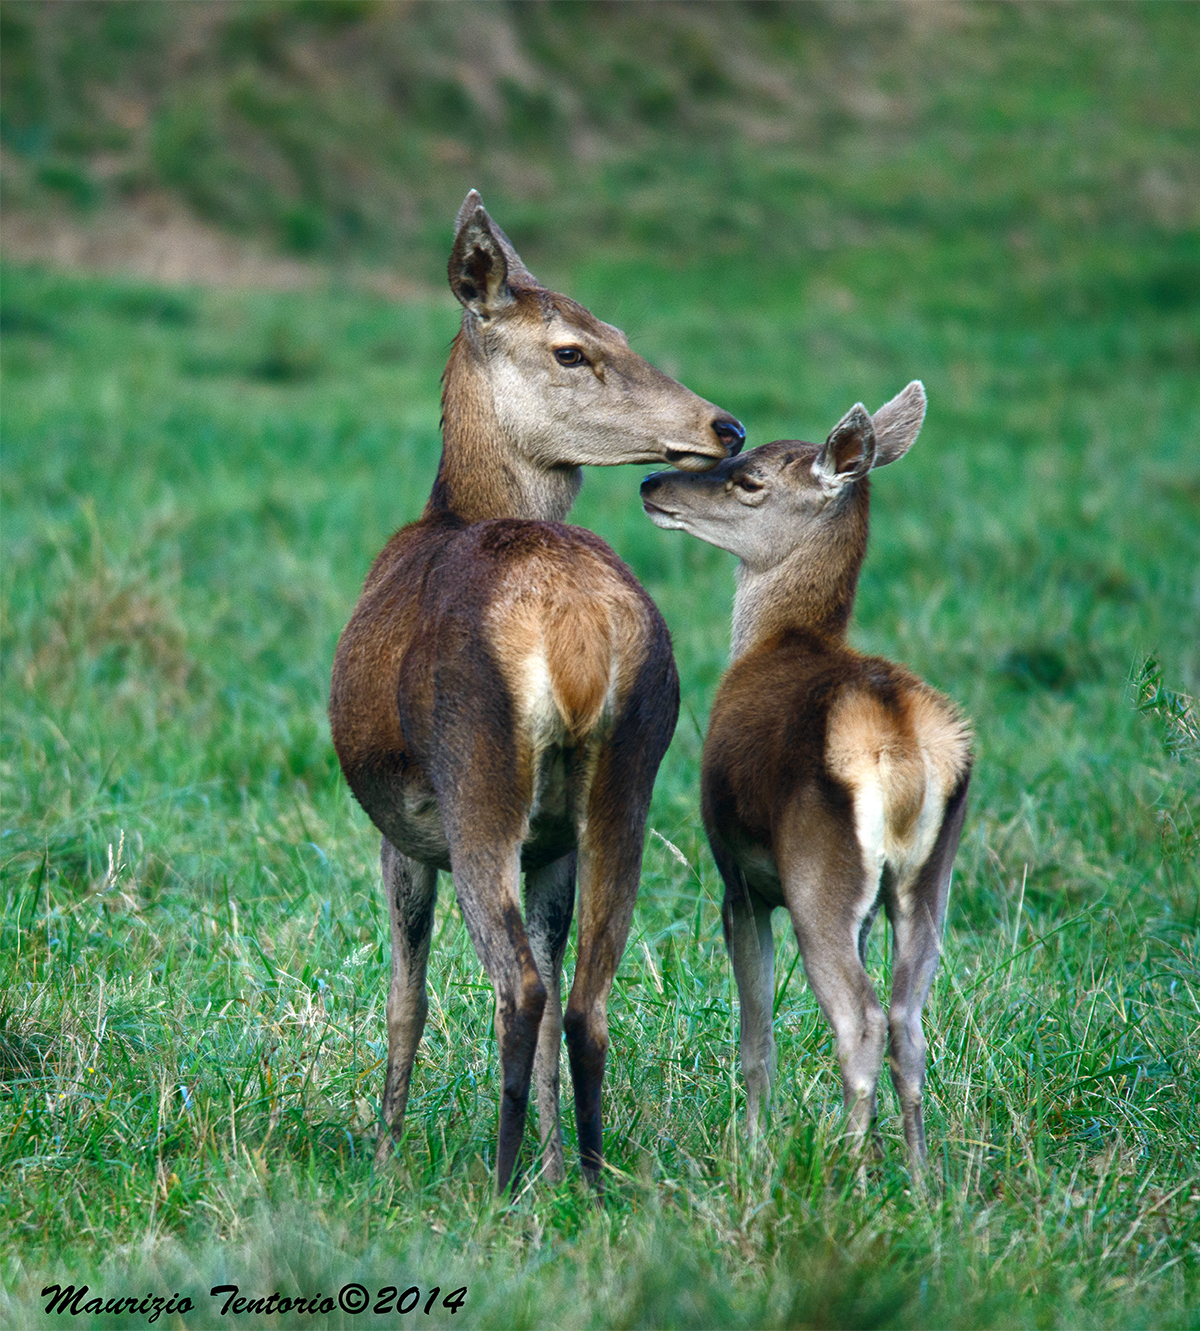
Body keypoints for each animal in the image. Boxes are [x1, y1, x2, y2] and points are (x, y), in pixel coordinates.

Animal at [329, 190, 745, 1194]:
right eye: (574, 347)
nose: (726, 426)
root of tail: (579, 633)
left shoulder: (399, 827)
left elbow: (405, 998)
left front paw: (385, 1159)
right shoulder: (551, 844)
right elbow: (558, 992)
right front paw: (556, 1166)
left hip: (476, 772)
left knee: (515, 988)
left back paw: (497, 1178)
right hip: (631, 771)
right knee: (584, 997)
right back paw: (584, 1179)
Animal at [639, 381, 972, 1178]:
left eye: (750, 480)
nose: (651, 483)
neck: (778, 638)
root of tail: (900, 740)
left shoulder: (738, 878)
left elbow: (756, 1038)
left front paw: (753, 1149)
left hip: (820, 870)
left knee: (863, 1020)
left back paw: (848, 1173)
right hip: (925, 880)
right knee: (910, 1021)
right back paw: (919, 1178)